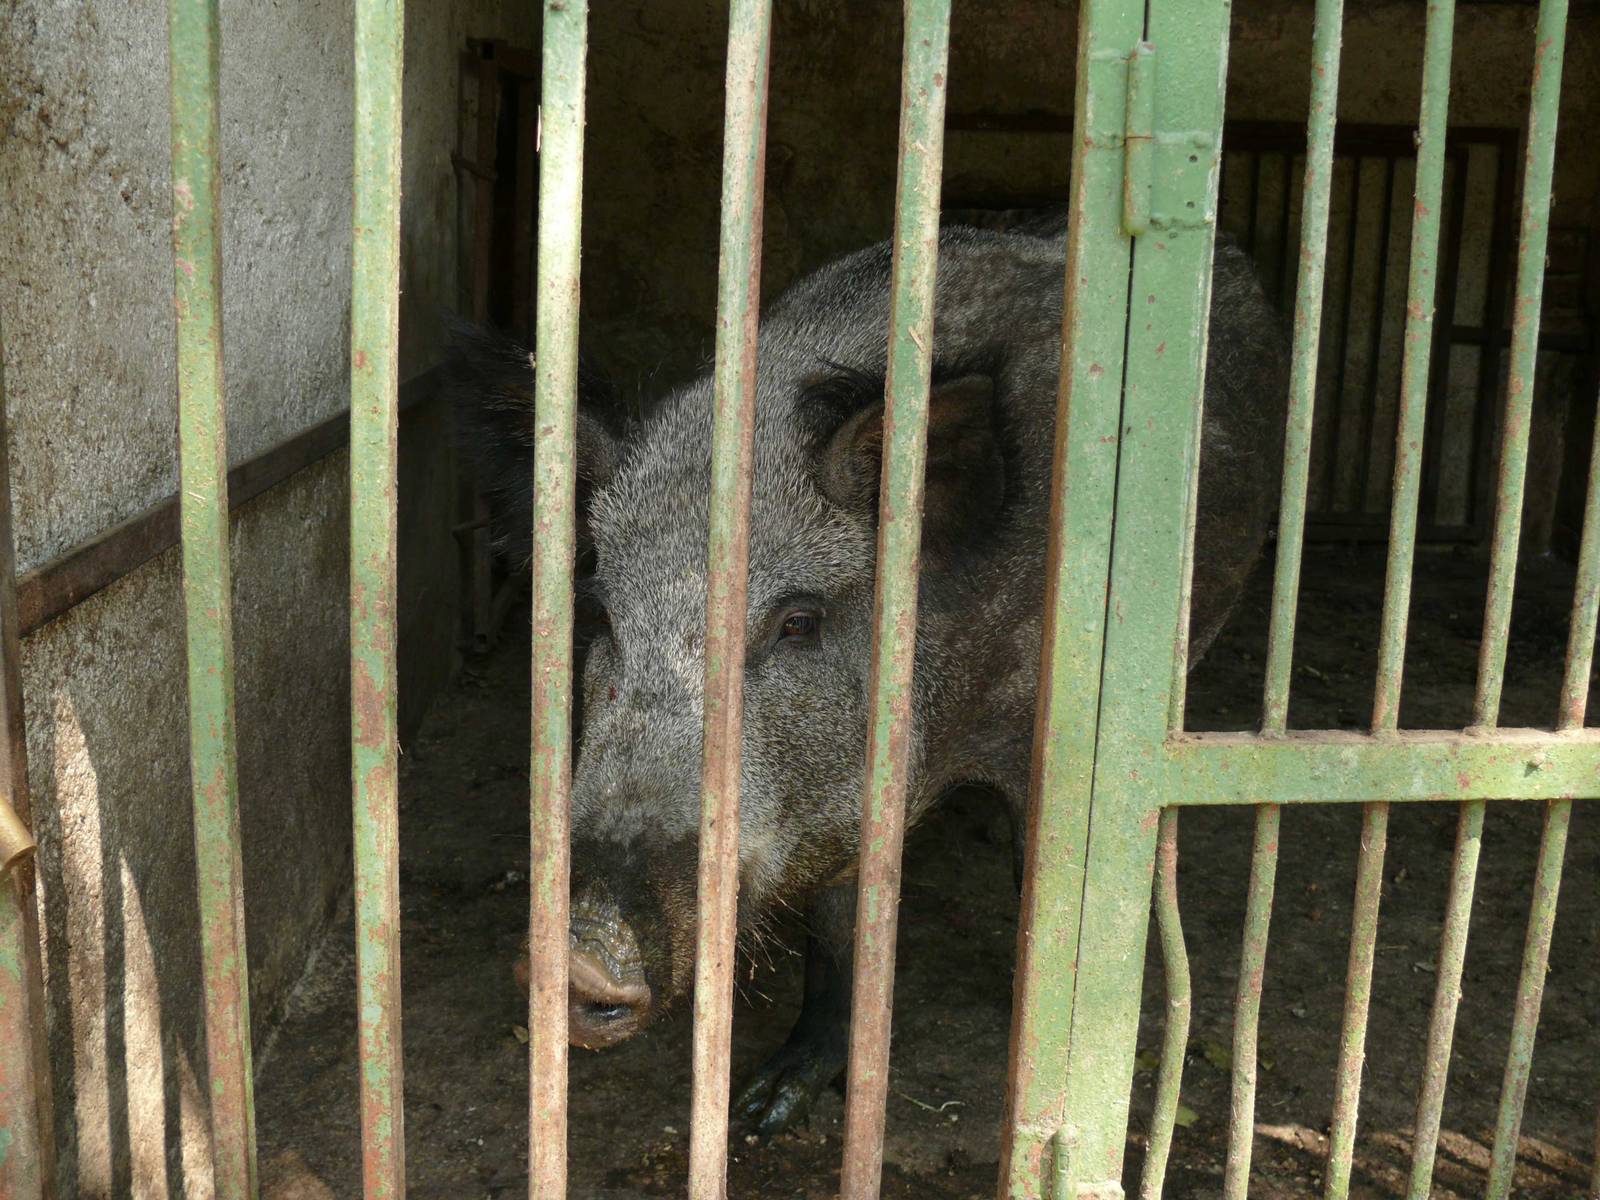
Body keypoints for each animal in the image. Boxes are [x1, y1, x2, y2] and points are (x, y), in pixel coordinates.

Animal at [449, 215, 1288, 1133]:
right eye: (600, 614)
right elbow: (836, 932)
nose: (577, 954)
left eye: (799, 622)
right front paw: (763, 1110)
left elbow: (1041, 883)